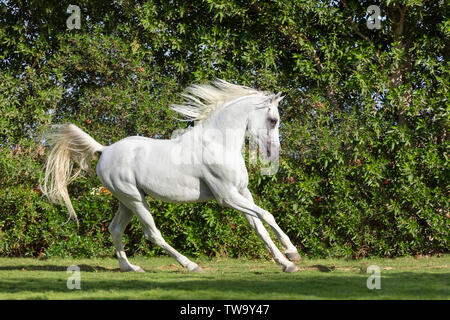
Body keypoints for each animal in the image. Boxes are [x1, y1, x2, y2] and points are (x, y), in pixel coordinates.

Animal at [42, 79, 300, 272]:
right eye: (273, 120)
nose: (273, 153)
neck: (218, 144)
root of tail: (104, 150)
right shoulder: (227, 197)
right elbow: (266, 215)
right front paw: (292, 252)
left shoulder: (242, 193)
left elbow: (260, 227)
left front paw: (286, 263)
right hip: (135, 199)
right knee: (152, 234)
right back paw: (190, 265)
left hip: (126, 201)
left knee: (115, 229)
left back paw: (130, 267)